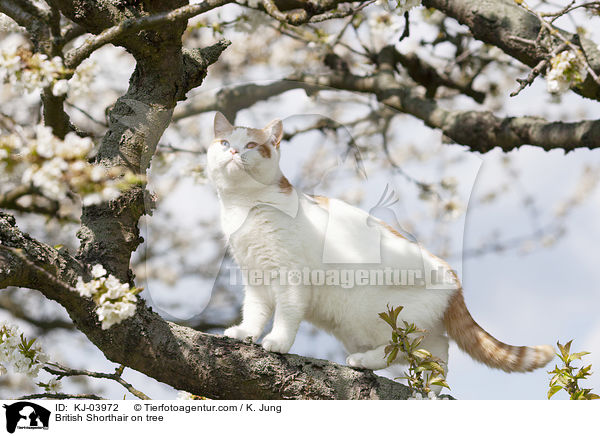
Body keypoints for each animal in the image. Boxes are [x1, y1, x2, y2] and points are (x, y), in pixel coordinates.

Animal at [206, 110, 552, 390]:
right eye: (224, 142)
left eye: (251, 145)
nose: (234, 150)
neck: (244, 205)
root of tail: (453, 277)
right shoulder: (255, 277)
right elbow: (255, 311)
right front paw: (245, 332)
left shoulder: (291, 276)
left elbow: (287, 313)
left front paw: (278, 341)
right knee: (436, 352)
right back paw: (430, 390)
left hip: (375, 316)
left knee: (405, 347)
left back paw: (367, 363)